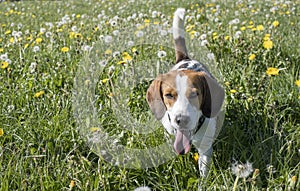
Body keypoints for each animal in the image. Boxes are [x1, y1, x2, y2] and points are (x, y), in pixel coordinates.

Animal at [145, 8, 225, 177]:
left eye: (194, 94)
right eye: (169, 95)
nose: (181, 120)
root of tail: (185, 58)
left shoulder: (205, 150)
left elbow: (204, 173)